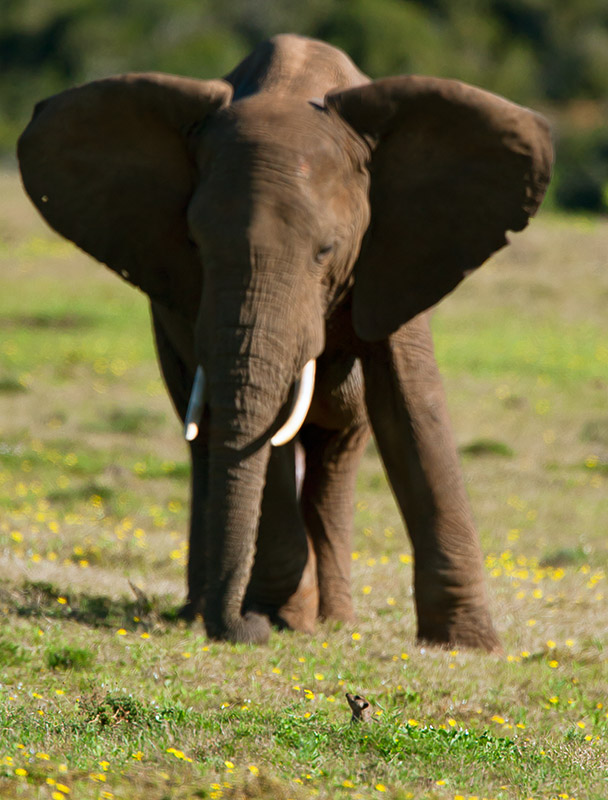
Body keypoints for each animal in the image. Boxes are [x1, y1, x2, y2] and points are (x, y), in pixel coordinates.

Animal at [17, 34, 552, 649]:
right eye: (195, 245)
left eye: (326, 250)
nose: (244, 626)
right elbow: (260, 429)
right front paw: (279, 619)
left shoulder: (401, 250)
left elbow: (412, 408)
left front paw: (466, 645)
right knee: (205, 438)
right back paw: (218, 609)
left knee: (335, 457)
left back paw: (332, 619)